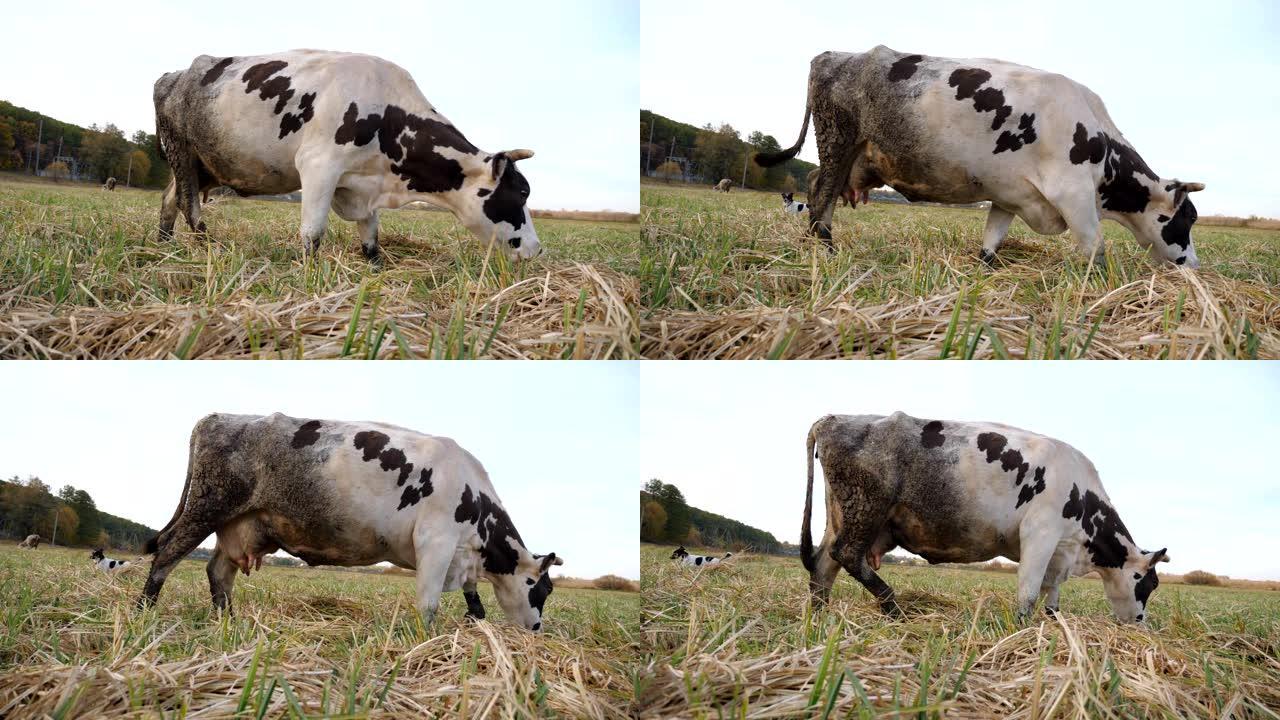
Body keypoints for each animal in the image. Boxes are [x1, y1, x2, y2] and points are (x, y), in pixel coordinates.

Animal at [140, 412, 560, 630]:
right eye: (545, 588)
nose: (537, 629)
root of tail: (217, 418)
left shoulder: (461, 554)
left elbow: (474, 599)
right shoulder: (435, 542)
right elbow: (428, 605)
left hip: (242, 525)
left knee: (218, 571)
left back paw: (229, 620)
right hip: (206, 508)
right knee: (166, 553)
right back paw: (144, 611)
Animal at [152, 50, 542, 263]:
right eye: (522, 192)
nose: (537, 250)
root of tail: (174, 75)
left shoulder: (363, 183)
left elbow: (370, 237)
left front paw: (375, 268)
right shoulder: (319, 166)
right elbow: (313, 233)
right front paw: (310, 274)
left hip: (200, 164)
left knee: (169, 198)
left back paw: (164, 246)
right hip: (181, 150)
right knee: (188, 206)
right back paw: (211, 249)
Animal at [752, 47, 1203, 266]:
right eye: (1189, 218)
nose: (1193, 265)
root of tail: (834, 55)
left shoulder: (1010, 196)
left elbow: (991, 243)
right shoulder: (1074, 194)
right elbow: (1096, 249)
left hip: (849, 154)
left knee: (814, 183)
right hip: (837, 140)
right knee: (821, 193)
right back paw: (825, 250)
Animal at [808, 412, 1172, 620]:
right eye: (1150, 583)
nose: (1141, 623)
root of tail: (832, 419)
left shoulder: (1060, 551)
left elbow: (1052, 595)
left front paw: (1054, 626)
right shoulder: (1040, 533)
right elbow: (1028, 593)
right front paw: (1023, 631)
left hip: (842, 514)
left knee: (823, 565)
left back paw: (819, 617)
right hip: (866, 508)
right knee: (847, 555)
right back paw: (894, 608)